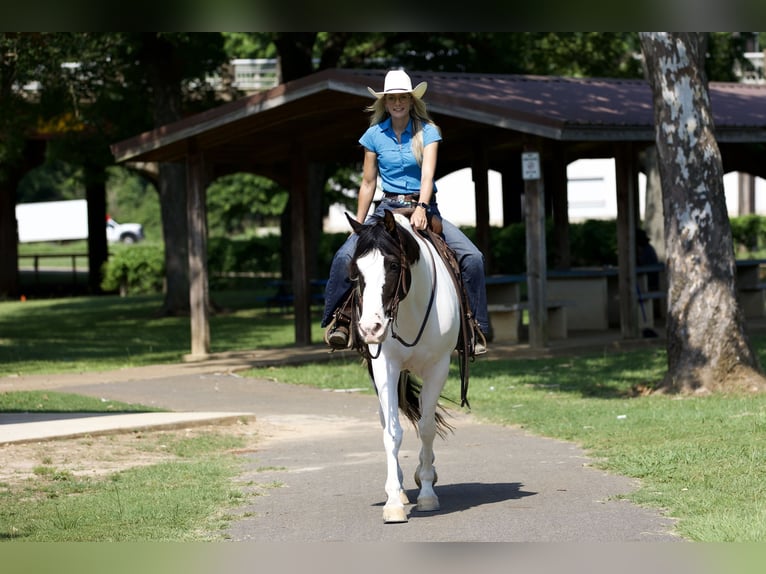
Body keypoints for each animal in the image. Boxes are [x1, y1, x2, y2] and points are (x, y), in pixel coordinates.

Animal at [350, 209, 464, 524]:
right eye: (355, 270)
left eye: (391, 264)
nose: (370, 328)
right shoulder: (384, 366)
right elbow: (392, 432)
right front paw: (393, 502)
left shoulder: (439, 367)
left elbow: (426, 428)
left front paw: (426, 494)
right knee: (386, 419)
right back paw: (400, 488)